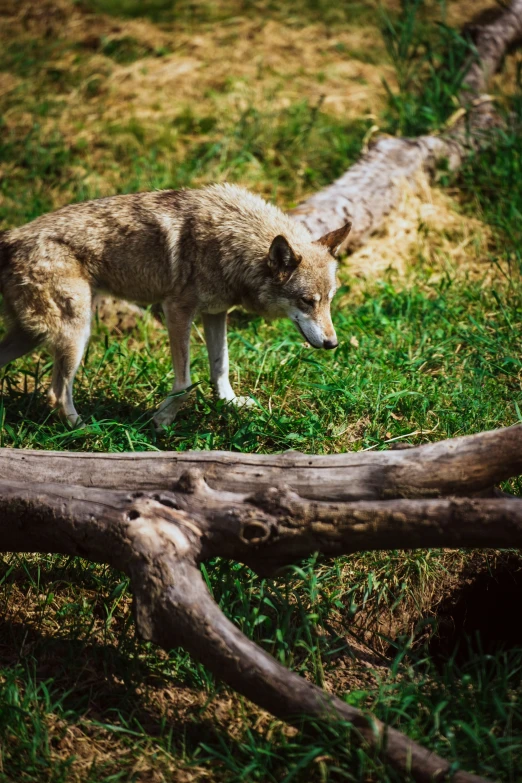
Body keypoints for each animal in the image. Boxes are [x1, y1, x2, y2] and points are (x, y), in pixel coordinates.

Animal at [0, 184, 352, 428]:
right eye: (307, 301)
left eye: (330, 300)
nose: (332, 344)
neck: (233, 243)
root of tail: (12, 237)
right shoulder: (177, 311)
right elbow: (185, 383)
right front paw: (161, 421)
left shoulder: (215, 313)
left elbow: (220, 367)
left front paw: (229, 403)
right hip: (77, 334)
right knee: (56, 394)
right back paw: (88, 432)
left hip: (33, 336)